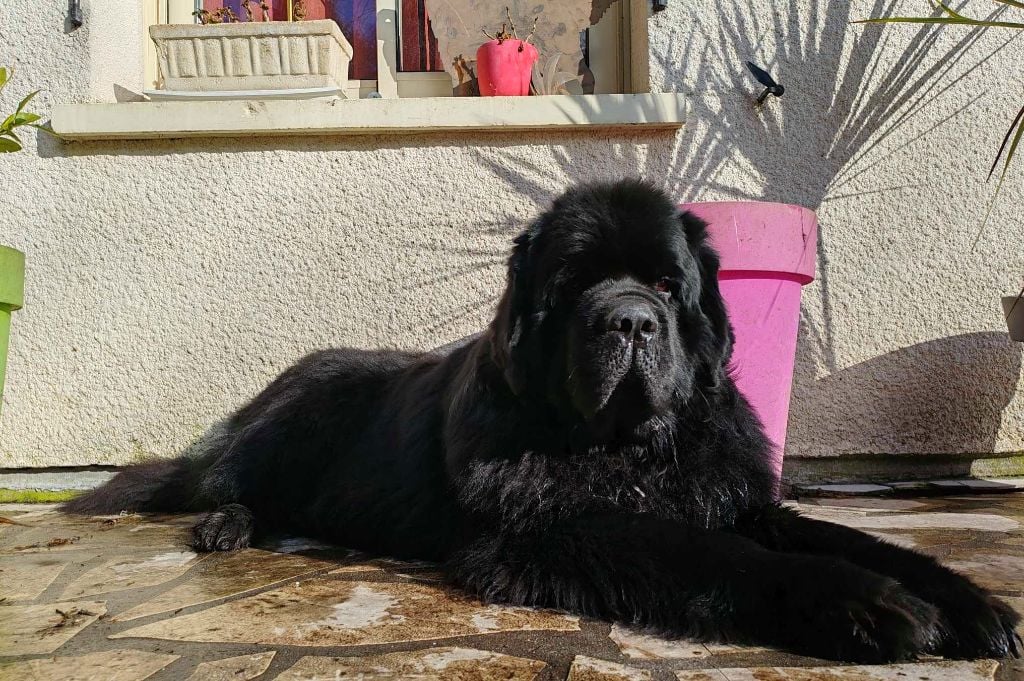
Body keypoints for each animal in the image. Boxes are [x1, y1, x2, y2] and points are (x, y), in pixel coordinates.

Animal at [68, 182, 1019, 663]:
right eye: (574, 285)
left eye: (667, 284)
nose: (629, 320)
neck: (627, 451)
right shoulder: (558, 526)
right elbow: (716, 555)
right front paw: (868, 607)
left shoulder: (735, 494)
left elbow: (848, 536)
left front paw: (967, 601)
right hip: (285, 425)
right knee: (226, 488)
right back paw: (223, 525)